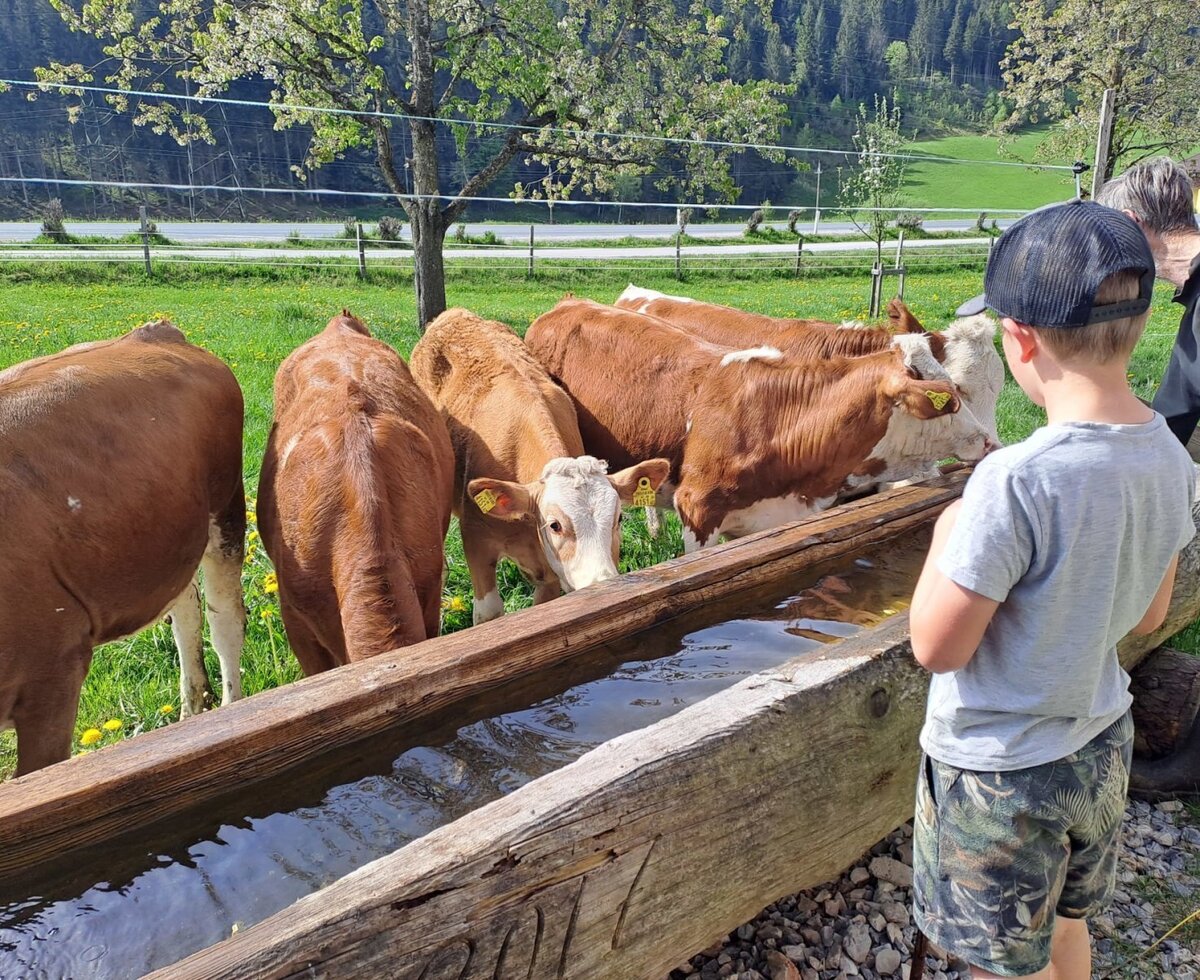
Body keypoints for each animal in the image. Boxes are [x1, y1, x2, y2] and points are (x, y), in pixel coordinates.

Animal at [0, 320, 245, 777]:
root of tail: (155, 331)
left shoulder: (53, 675)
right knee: (186, 609)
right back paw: (192, 716)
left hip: (226, 507)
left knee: (226, 620)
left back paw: (229, 711)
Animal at [410, 308, 670, 624]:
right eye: (555, 525)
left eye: (619, 518)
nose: (600, 584)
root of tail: (453, 314)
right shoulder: (476, 539)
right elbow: (488, 613)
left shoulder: (550, 577)